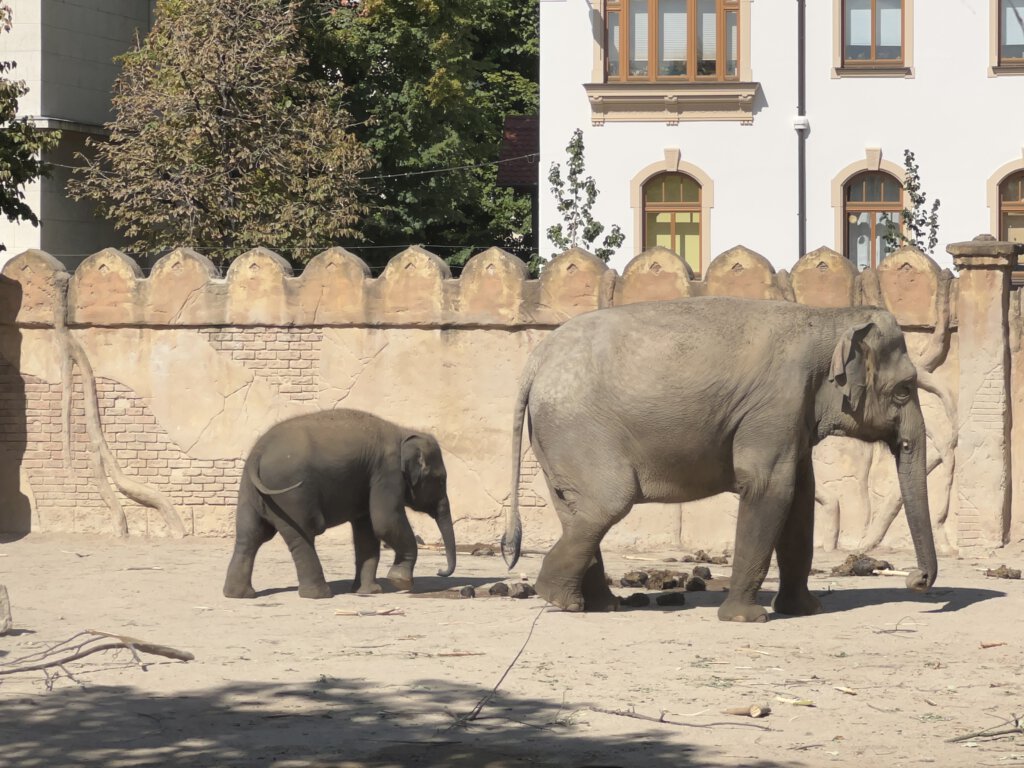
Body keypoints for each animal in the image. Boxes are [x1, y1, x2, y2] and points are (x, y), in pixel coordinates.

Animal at [224, 409, 456, 602]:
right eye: (441, 480)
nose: (440, 571)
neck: (404, 432)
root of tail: (259, 452)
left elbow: (367, 531)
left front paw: (369, 592)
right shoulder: (387, 472)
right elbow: (386, 522)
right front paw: (401, 581)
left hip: (250, 494)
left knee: (250, 537)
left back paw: (240, 595)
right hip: (291, 495)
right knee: (302, 536)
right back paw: (320, 595)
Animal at [501, 296, 937, 622]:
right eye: (904, 390)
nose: (916, 580)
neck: (829, 318)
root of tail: (536, 361)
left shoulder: (792, 415)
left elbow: (800, 498)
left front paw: (804, 610)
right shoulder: (776, 403)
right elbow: (769, 488)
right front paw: (748, 618)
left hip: (556, 439)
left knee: (577, 509)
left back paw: (593, 604)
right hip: (578, 430)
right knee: (607, 503)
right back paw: (559, 598)